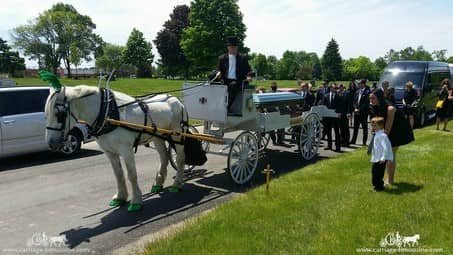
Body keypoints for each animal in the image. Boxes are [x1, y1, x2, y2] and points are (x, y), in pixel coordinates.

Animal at [45, 85, 186, 211]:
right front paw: (120, 198)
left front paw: (136, 200)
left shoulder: (126, 150)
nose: (51, 143)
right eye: (46, 114)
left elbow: (131, 175)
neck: (108, 114)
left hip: (177, 134)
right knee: (164, 157)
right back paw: (158, 182)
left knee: (179, 158)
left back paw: (177, 184)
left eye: (59, 114)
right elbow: (118, 174)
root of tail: (176, 99)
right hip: (158, 137)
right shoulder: (110, 152)